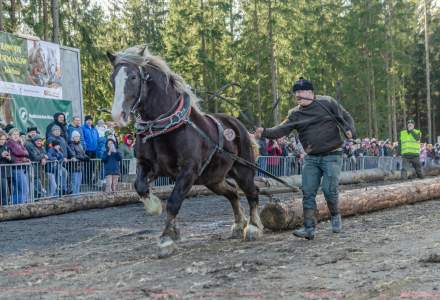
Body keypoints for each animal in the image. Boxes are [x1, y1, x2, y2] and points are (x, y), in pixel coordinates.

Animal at [108, 45, 262, 256]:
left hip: (243, 170)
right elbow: (139, 186)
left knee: (252, 191)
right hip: (213, 178)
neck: (163, 127)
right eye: (112, 78)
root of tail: (240, 125)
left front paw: (166, 238)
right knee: (232, 193)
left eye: (132, 77)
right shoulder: (147, 165)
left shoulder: (188, 170)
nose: (118, 115)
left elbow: (174, 201)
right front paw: (155, 208)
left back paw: (253, 227)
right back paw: (239, 225)